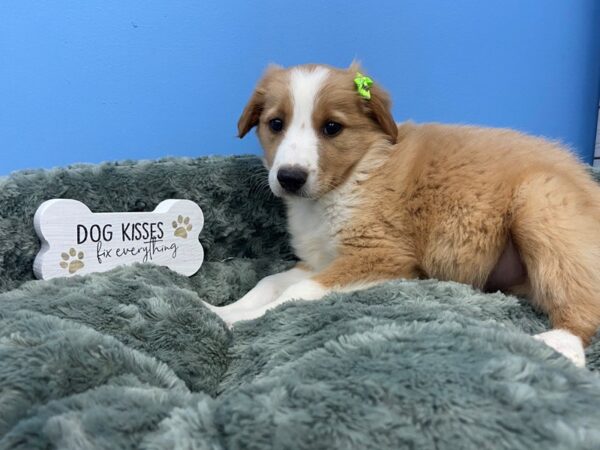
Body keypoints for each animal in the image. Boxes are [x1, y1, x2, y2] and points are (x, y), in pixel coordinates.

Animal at [206, 62, 600, 366]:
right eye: (276, 124)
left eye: (332, 127)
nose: (289, 177)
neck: (349, 180)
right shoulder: (320, 260)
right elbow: (269, 283)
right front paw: (220, 311)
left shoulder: (380, 255)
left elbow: (295, 293)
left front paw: (242, 321)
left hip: (541, 205)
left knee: (585, 302)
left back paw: (560, 344)